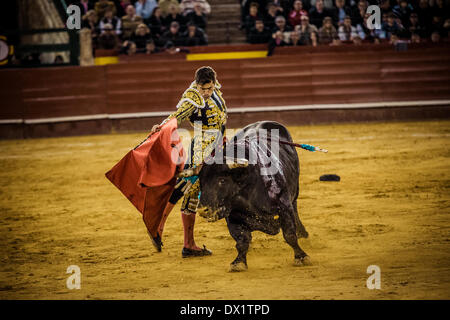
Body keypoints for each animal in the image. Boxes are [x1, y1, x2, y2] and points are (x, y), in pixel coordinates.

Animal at [190, 121, 310, 272]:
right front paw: (238, 262)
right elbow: (242, 241)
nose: (202, 210)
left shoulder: (284, 207)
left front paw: (301, 257)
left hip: (294, 193)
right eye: (201, 182)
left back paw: (302, 233)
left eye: (222, 180)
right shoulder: (233, 218)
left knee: (295, 208)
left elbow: (290, 235)